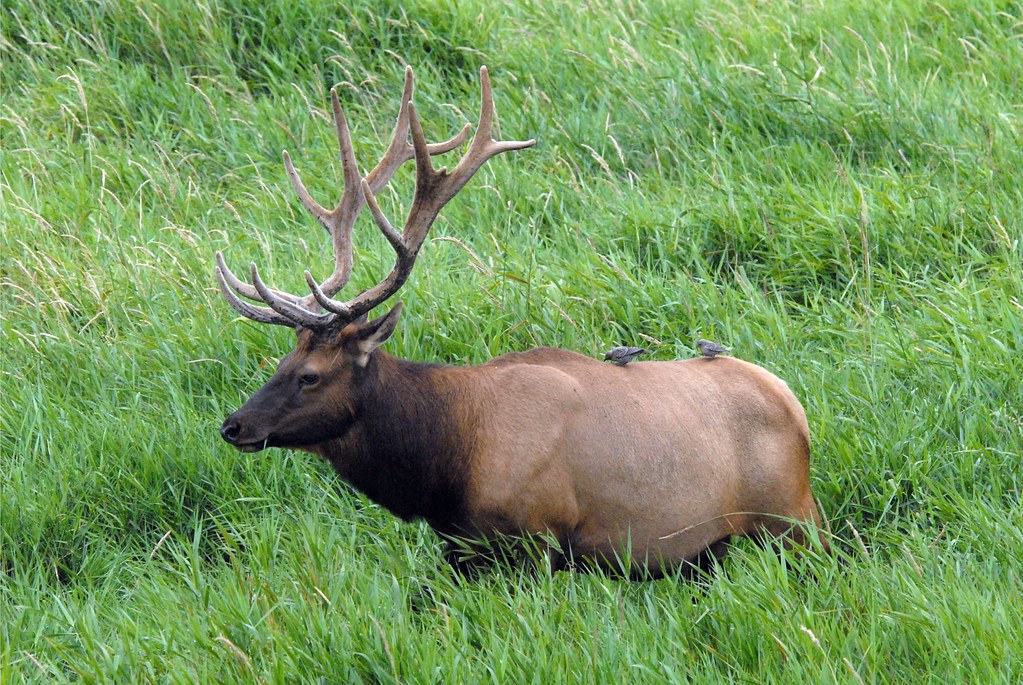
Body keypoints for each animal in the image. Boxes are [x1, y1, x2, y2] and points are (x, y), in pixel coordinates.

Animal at [216, 66, 825, 578]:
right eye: (282, 360)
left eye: (310, 375)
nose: (233, 426)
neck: (444, 462)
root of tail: (794, 405)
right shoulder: (460, 546)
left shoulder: (535, 539)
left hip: (791, 522)